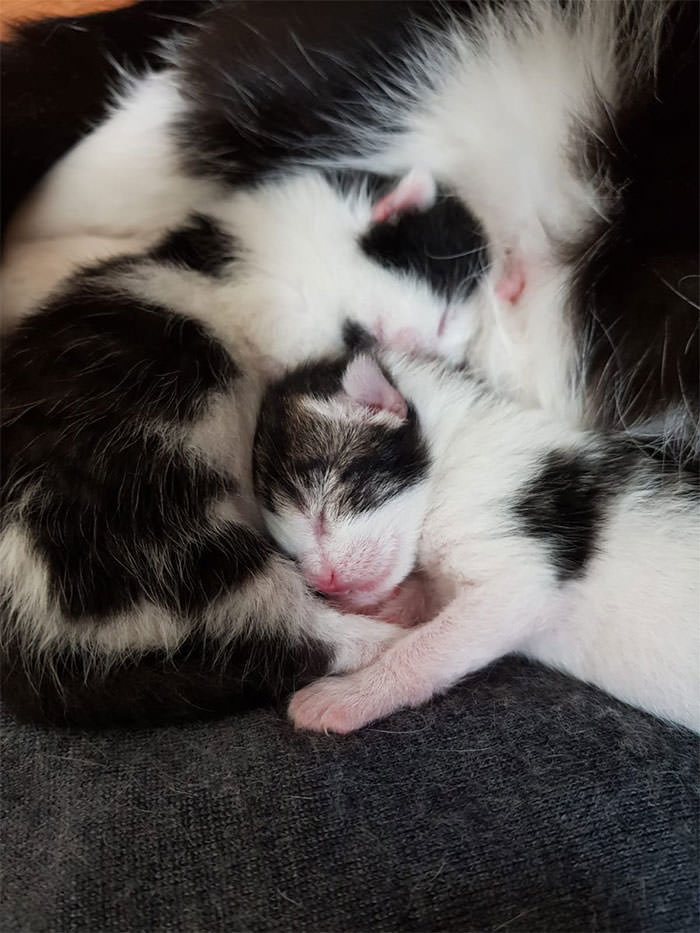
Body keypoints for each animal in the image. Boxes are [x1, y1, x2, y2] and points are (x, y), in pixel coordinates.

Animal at [253, 350, 700, 733]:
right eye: (291, 552)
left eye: (320, 515)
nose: (322, 581)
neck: (454, 444)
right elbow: (424, 598)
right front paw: (381, 608)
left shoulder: (517, 578)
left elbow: (425, 647)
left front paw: (347, 695)